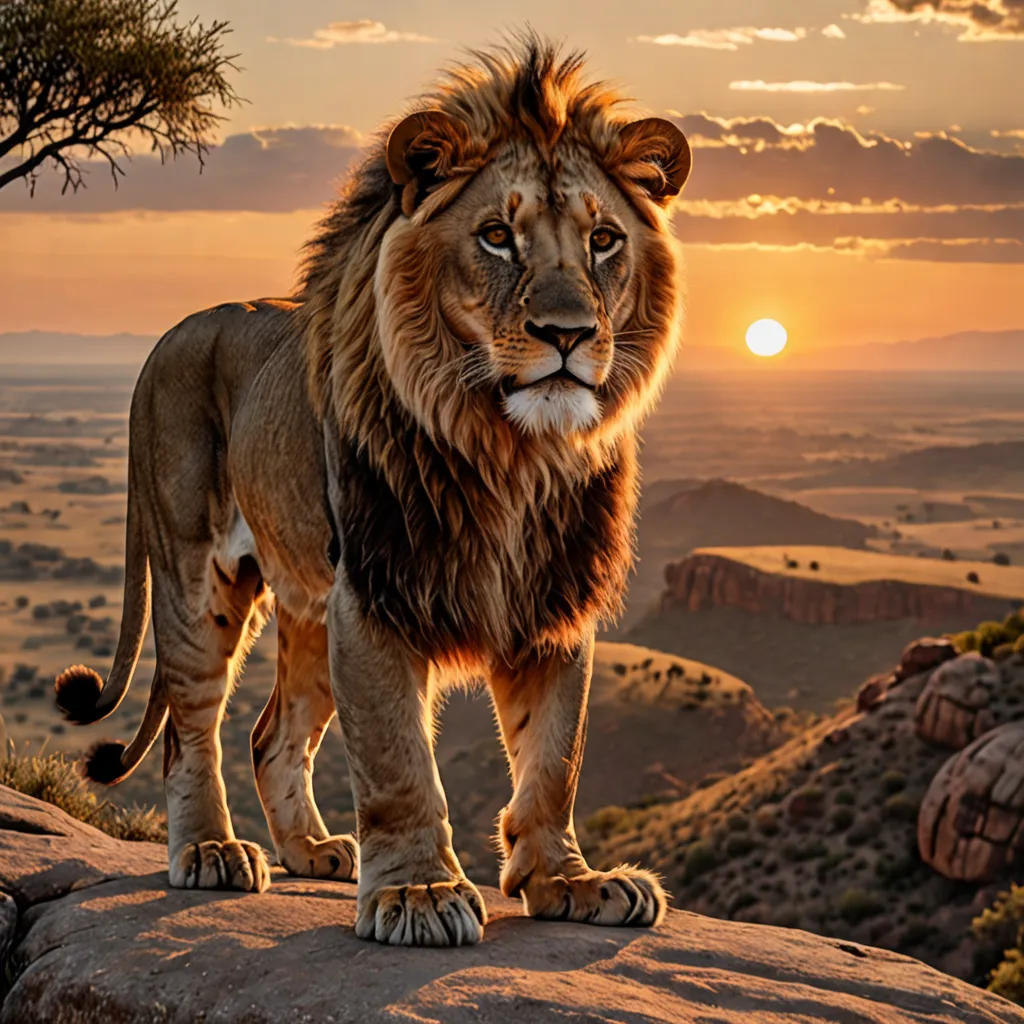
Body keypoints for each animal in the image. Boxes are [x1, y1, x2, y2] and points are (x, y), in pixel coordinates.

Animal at [53, 37, 691, 947]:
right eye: (497, 236)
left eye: (603, 240)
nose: (566, 335)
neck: (511, 450)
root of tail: (169, 335)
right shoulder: (380, 592)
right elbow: (397, 761)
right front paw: (418, 892)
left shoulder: (552, 600)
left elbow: (554, 757)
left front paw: (570, 880)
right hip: (194, 574)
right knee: (191, 728)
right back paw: (211, 851)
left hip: (310, 608)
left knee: (268, 734)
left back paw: (311, 850)